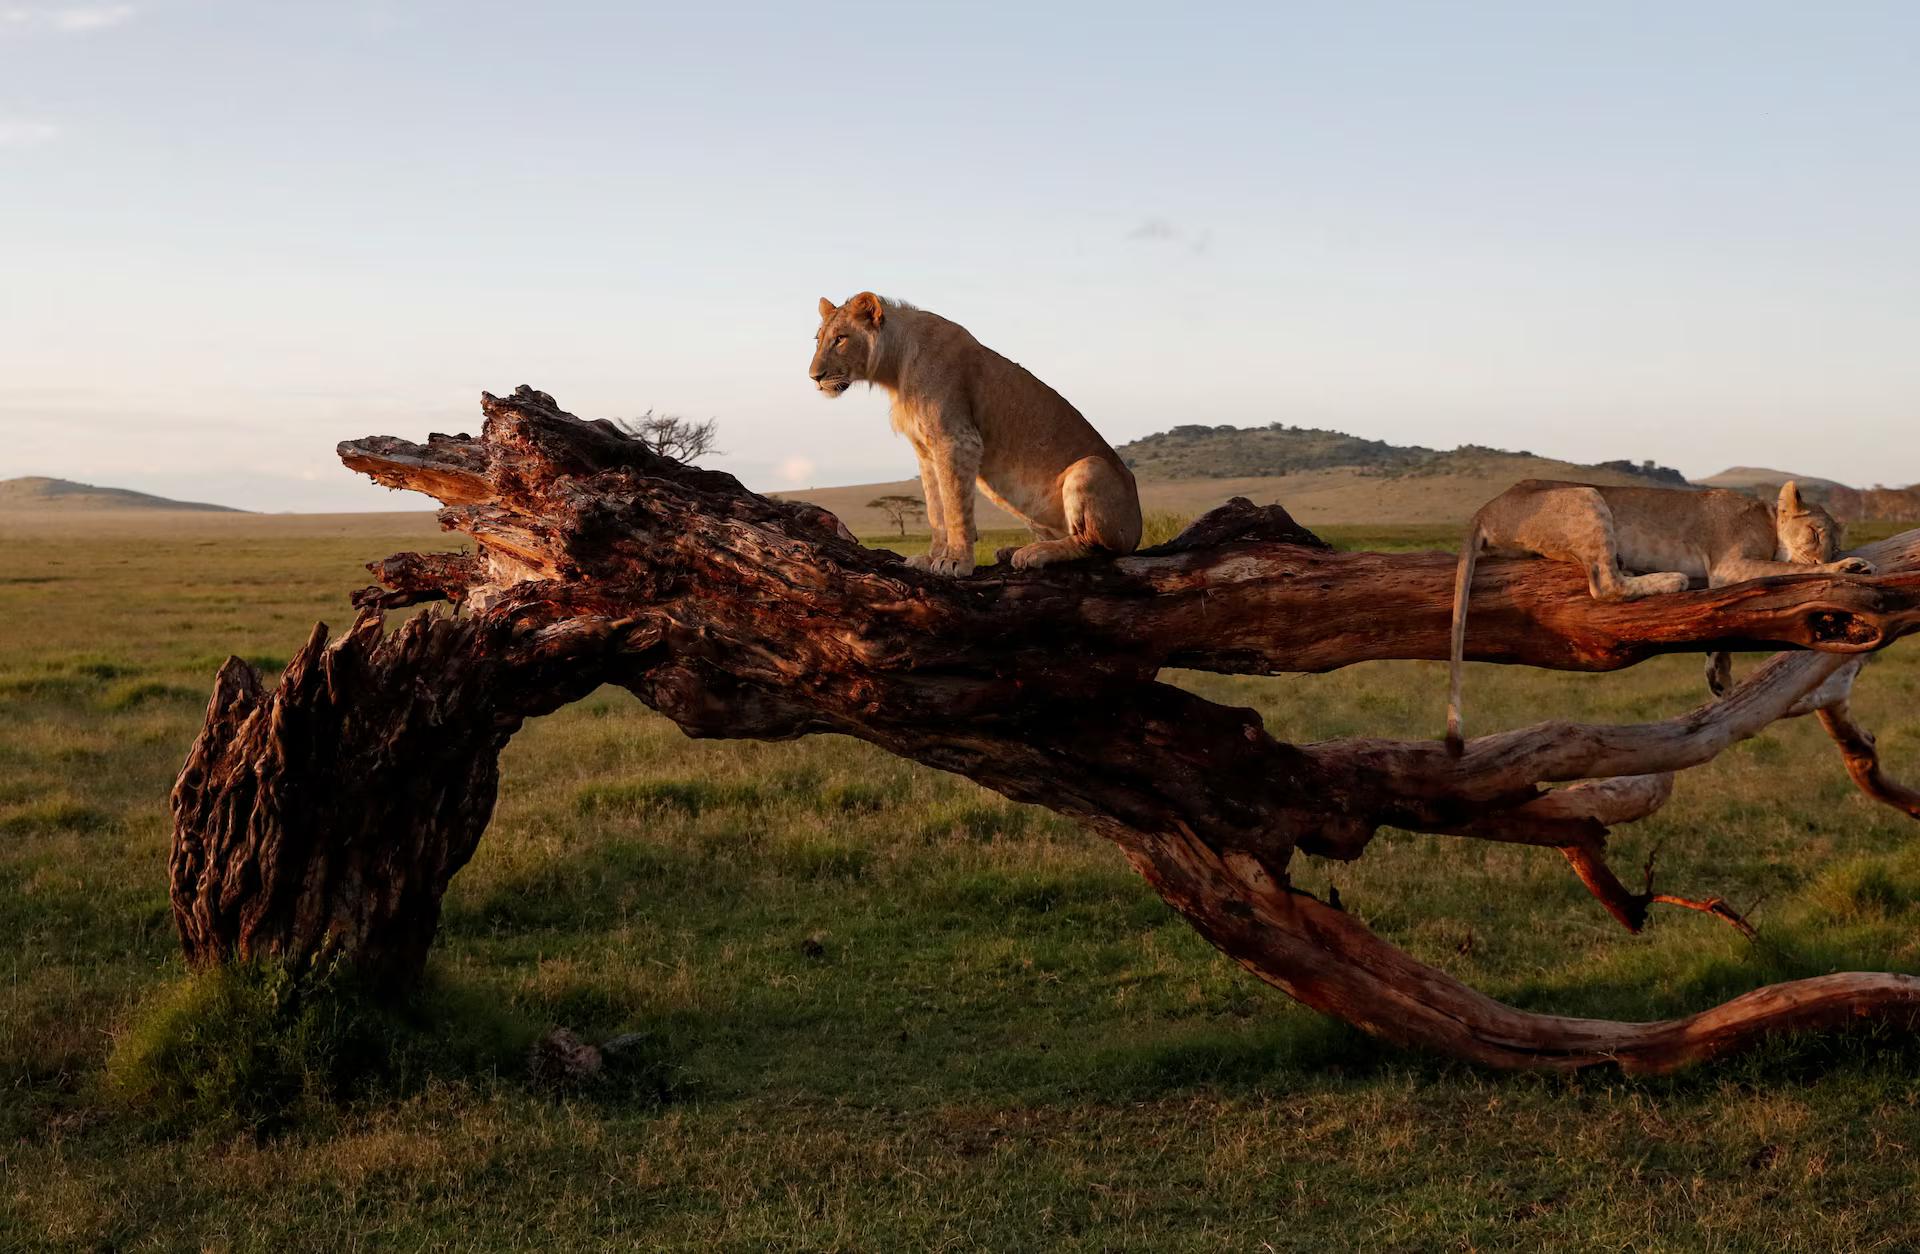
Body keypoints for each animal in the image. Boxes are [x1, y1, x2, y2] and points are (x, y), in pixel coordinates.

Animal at [808, 292, 1142, 576]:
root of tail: (1138, 527)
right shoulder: (926, 452)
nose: (814, 377)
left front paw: (956, 562)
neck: (894, 369)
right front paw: (931, 557)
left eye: (840, 339)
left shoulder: (957, 440)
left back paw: (1035, 553)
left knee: (1094, 546)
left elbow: (955, 507)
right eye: (818, 339)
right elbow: (936, 509)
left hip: (1091, 468)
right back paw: (1014, 549)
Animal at [1445, 478, 1872, 754]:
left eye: (1835, 542)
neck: (1768, 519)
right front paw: (1847, 568)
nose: (1831, 554)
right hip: (1587, 495)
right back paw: (1668, 579)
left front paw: (1719, 676)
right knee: (1603, 583)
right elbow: (1793, 571)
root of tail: (1486, 507)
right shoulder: (1728, 565)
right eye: (1815, 535)